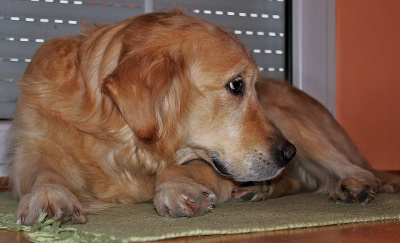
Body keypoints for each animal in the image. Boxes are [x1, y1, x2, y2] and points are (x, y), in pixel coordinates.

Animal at [6, 10, 400, 225]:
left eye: (252, 86)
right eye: (236, 85)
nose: (288, 154)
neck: (121, 143)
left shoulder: (207, 161)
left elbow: (184, 167)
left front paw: (177, 187)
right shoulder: (32, 145)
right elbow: (43, 172)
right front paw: (49, 197)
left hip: (295, 122)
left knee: (356, 169)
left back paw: (354, 185)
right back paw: (260, 190)